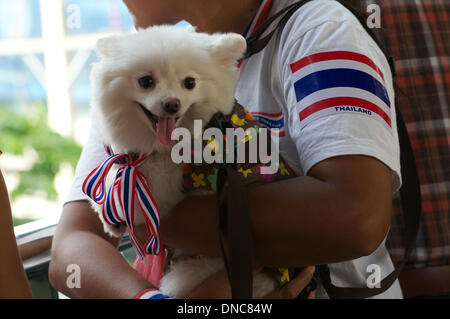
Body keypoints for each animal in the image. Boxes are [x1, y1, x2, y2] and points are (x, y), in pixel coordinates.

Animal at [89, 25, 276, 300]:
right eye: (146, 81)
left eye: (190, 83)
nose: (171, 103)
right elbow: (115, 176)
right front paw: (110, 220)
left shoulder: (161, 185)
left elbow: (125, 191)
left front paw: (113, 214)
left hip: (198, 270)